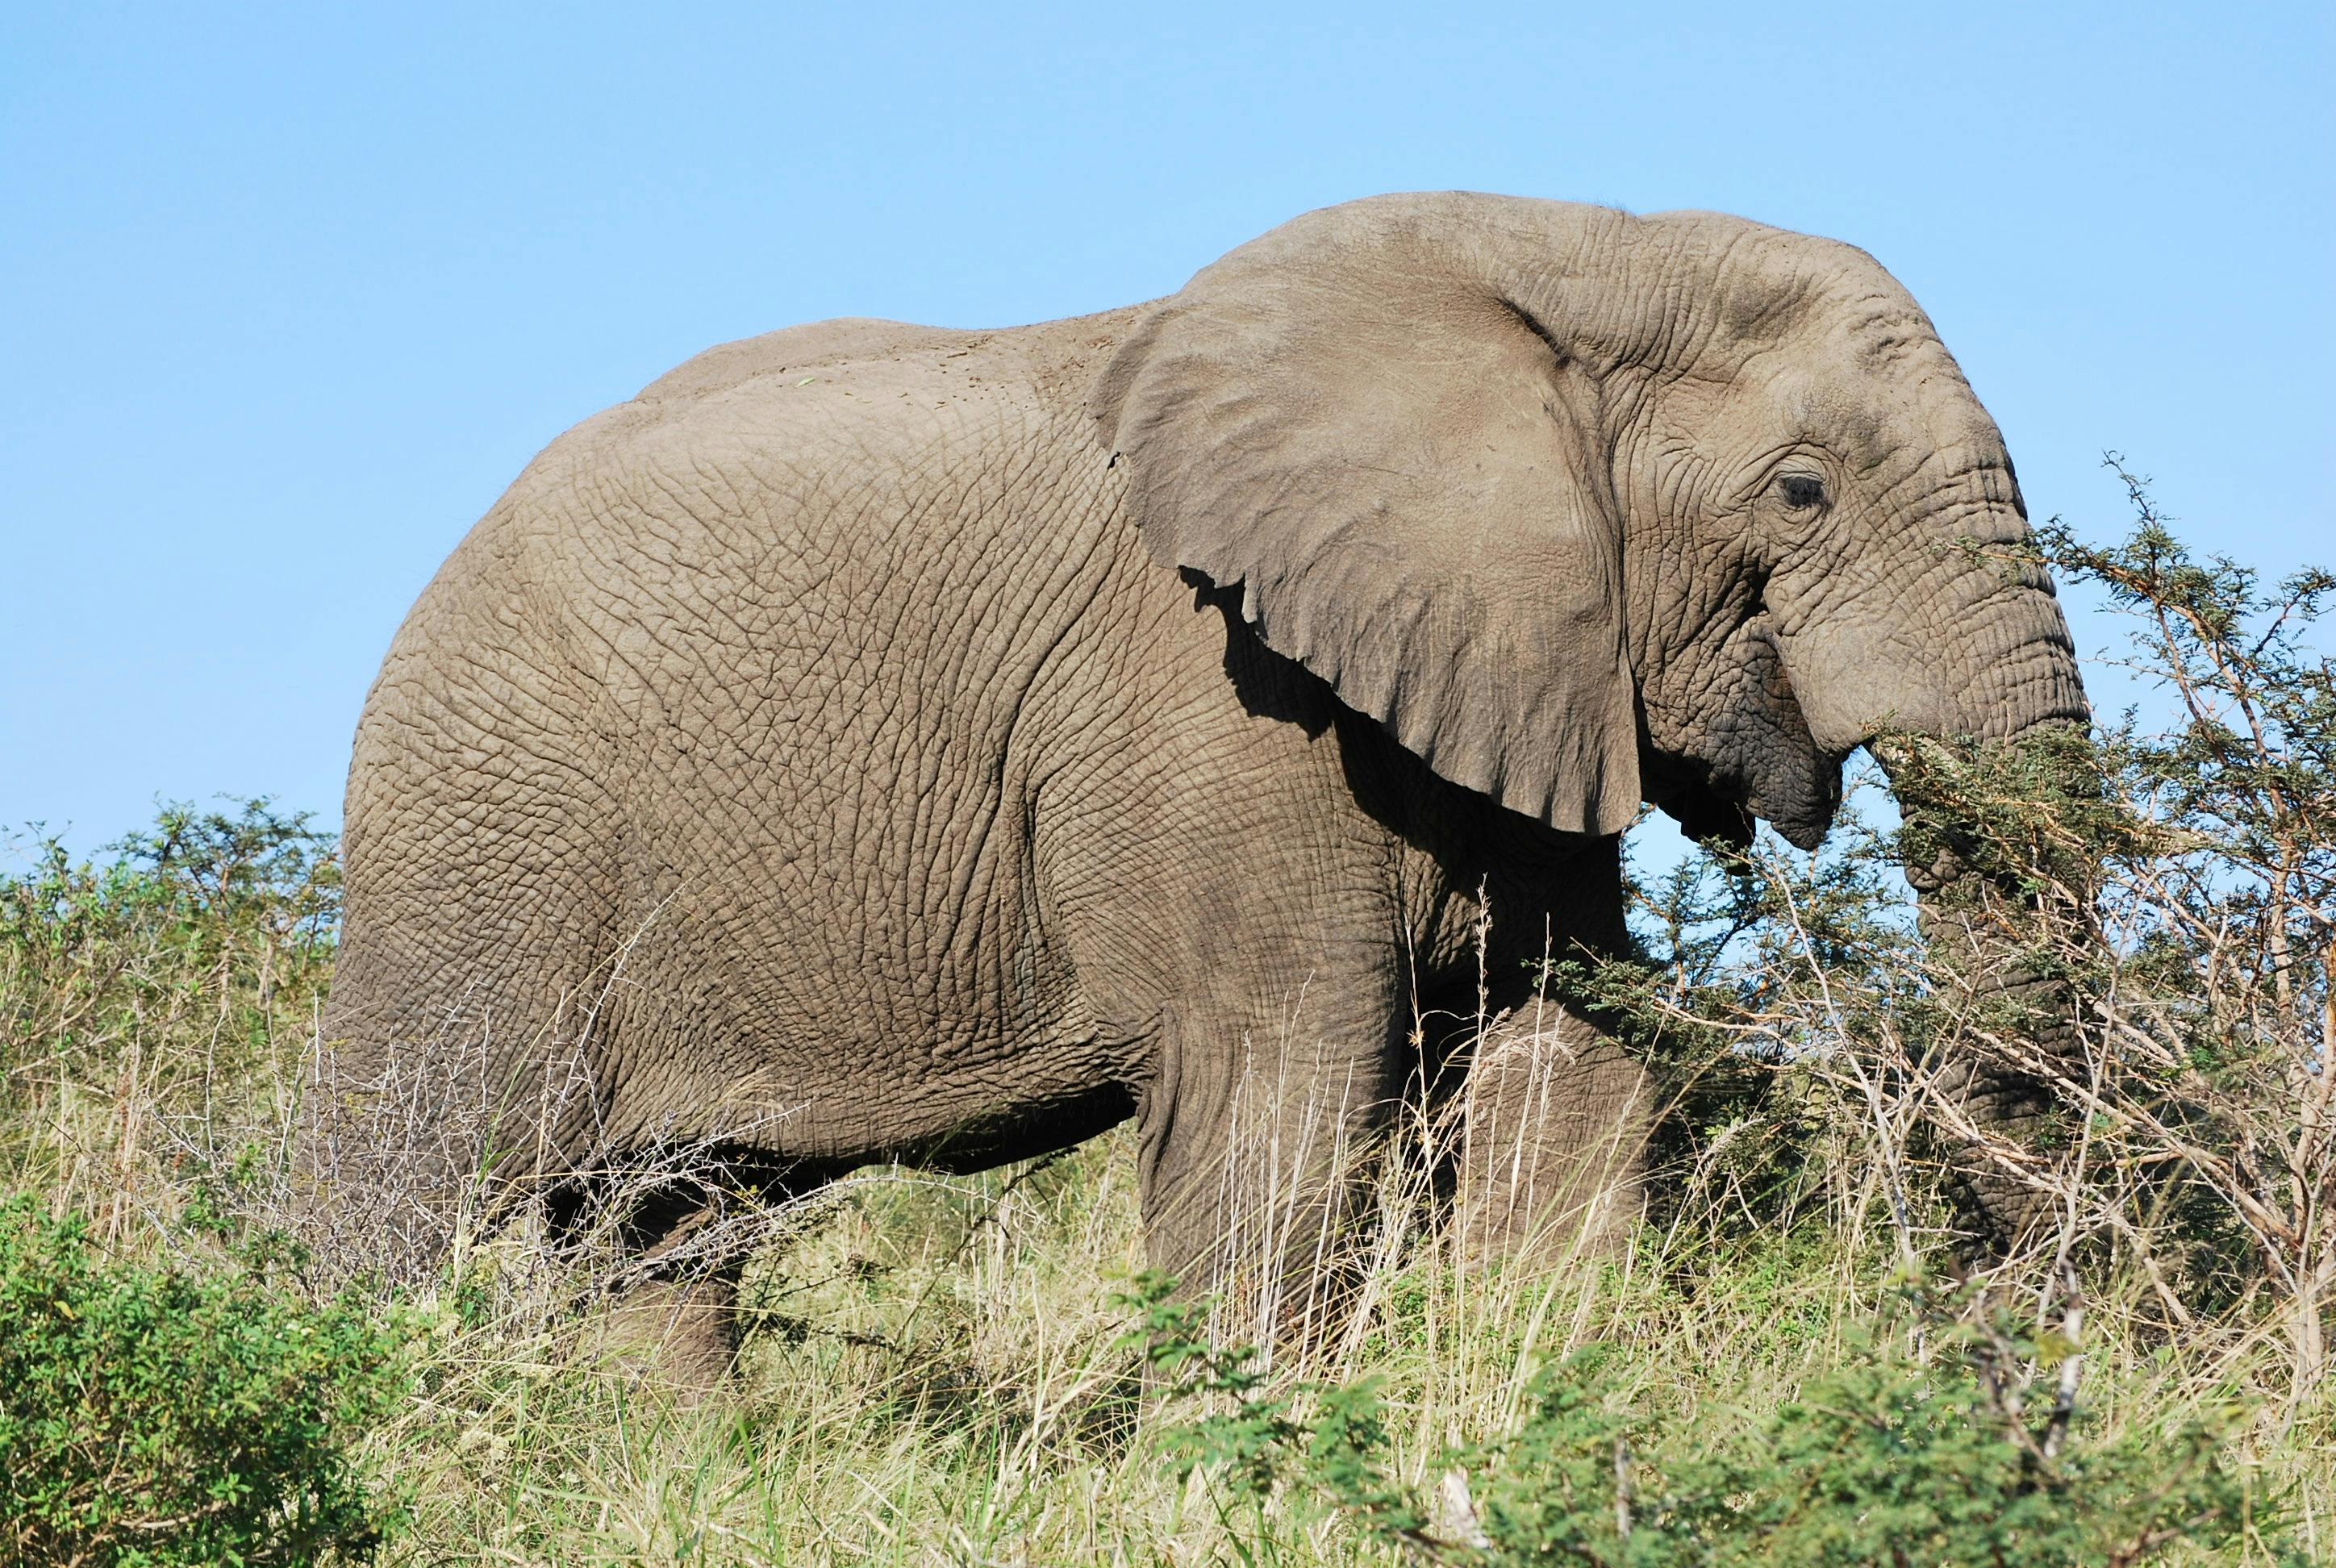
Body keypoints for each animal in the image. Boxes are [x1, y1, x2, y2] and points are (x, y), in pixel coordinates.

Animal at [301, 193, 2092, 1374]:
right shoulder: (1218, 701)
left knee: (665, 1225)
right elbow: (1280, 1084)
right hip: (487, 813)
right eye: (1799, 491)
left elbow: (1563, 1062)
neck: (1568, 248)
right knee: (413, 1187)